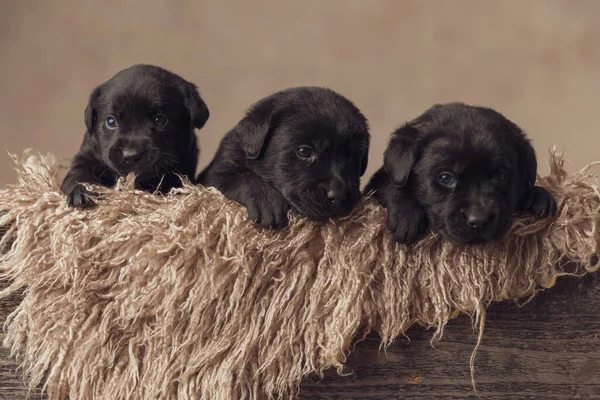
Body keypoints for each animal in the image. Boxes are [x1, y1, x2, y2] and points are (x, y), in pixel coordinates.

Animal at [59, 64, 207, 208]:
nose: (130, 156)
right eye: (111, 122)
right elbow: (79, 173)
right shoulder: (86, 155)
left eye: (160, 120)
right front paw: (82, 191)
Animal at [199, 86, 370, 228]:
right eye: (304, 151)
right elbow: (243, 178)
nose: (338, 196)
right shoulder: (216, 173)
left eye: (353, 158)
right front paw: (265, 201)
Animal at [366, 103, 556, 244]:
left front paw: (537, 196)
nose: (479, 220)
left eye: (501, 176)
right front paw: (406, 216)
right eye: (445, 178)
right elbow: (391, 185)